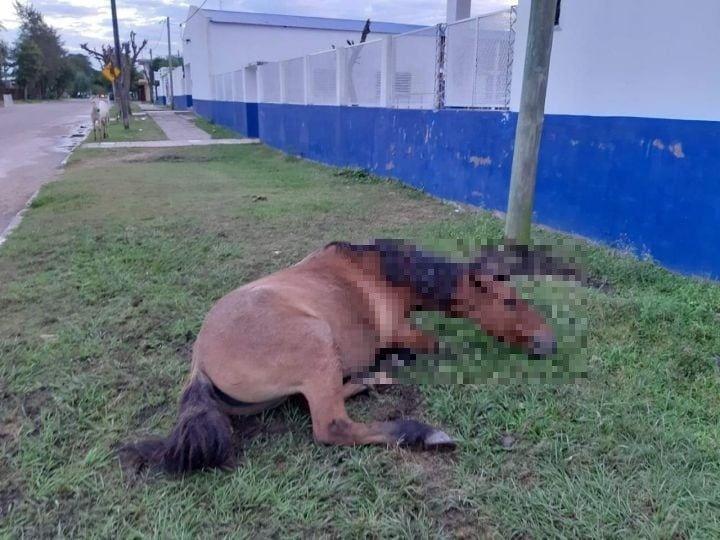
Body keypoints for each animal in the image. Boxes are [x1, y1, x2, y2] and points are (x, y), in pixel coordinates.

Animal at [126, 239, 584, 472]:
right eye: (509, 301)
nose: (548, 341)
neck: (386, 274)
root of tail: (200, 365)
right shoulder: (403, 331)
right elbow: (439, 345)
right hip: (317, 342)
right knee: (333, 425)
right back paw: (420, 431)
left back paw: (372, 379)